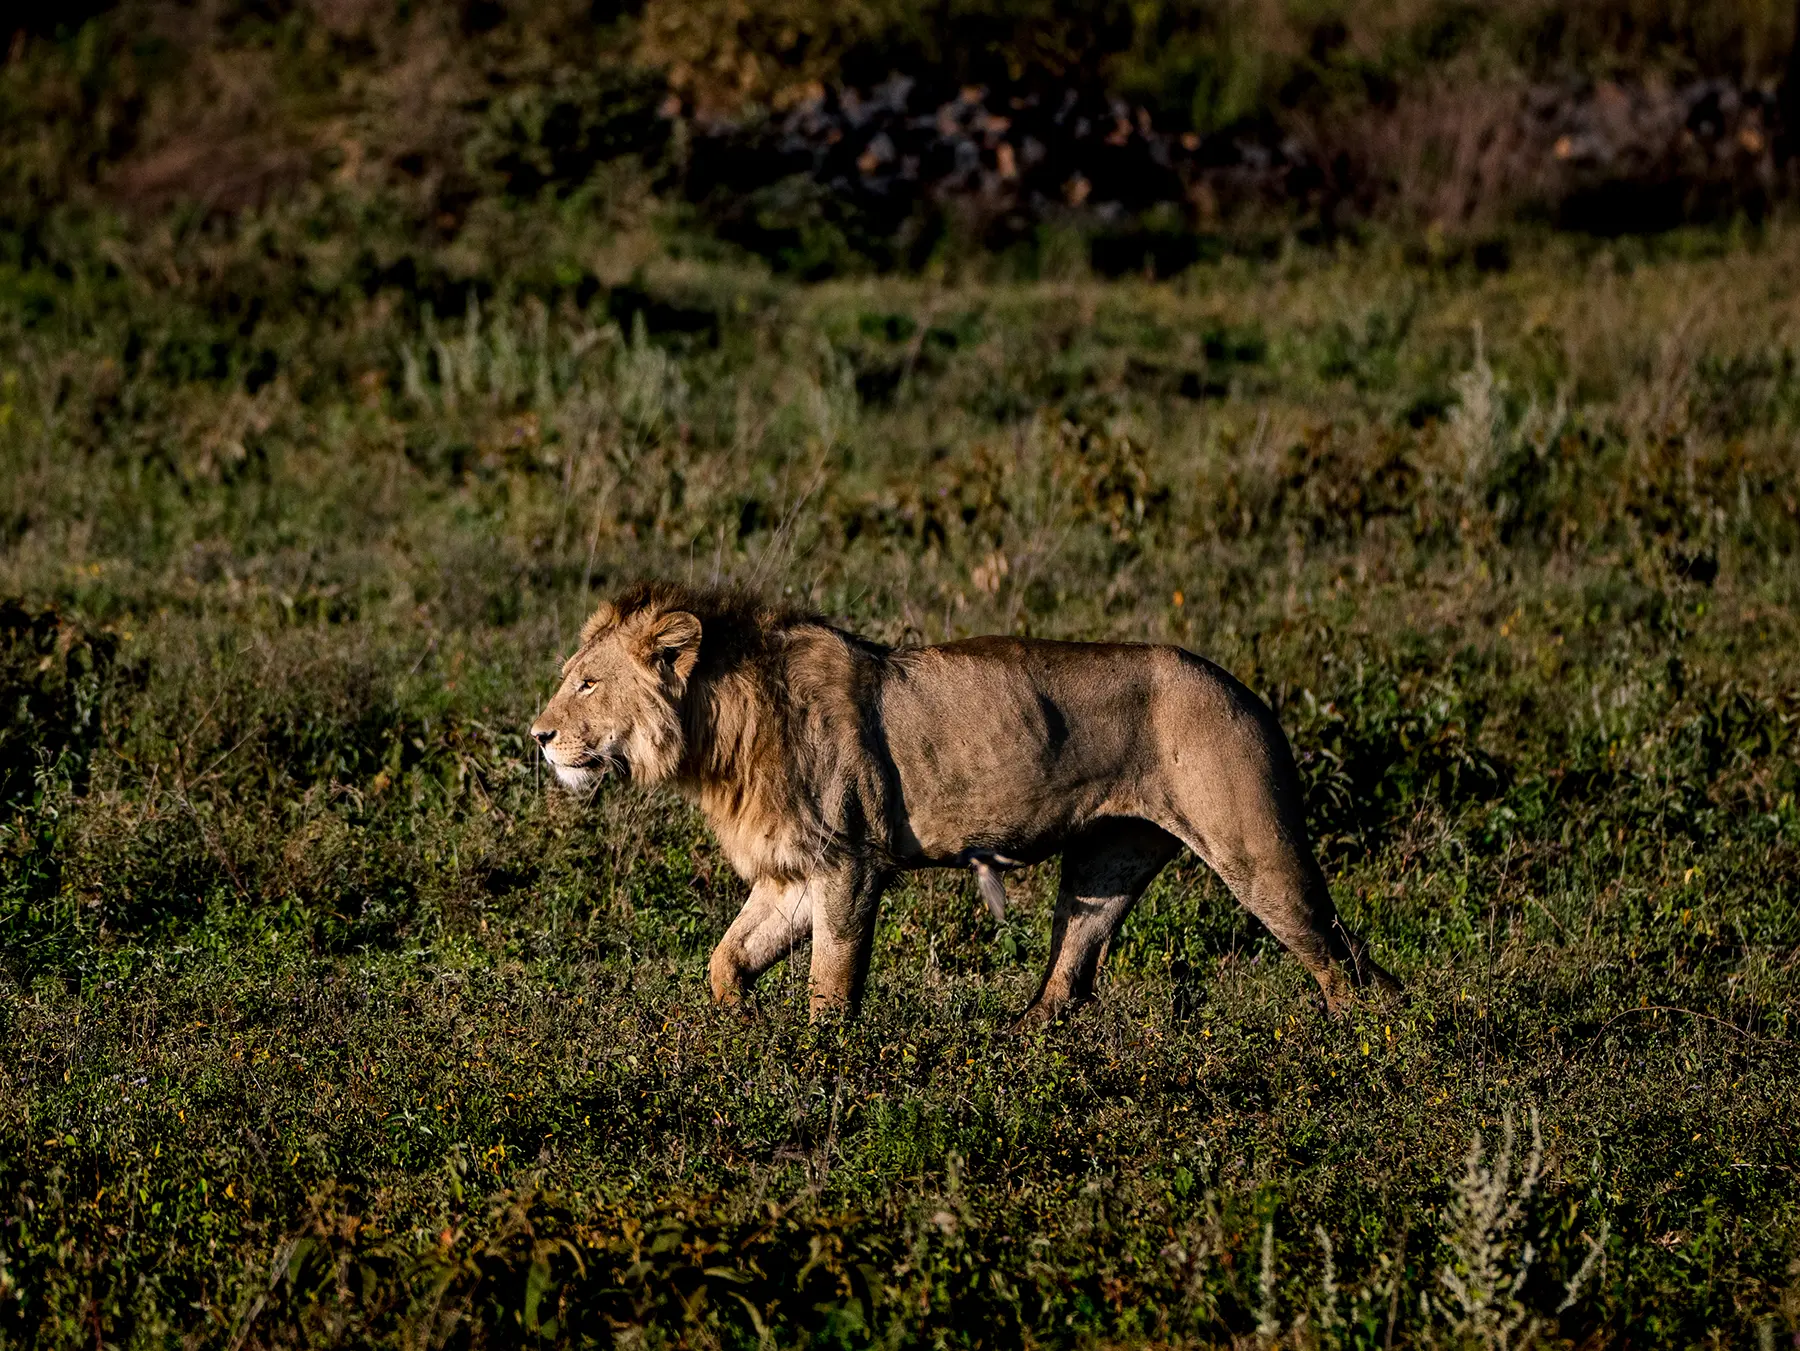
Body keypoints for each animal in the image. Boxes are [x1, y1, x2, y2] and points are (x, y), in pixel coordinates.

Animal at [530, 582, 1399, 1022]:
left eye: (588, 682)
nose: (538, 735)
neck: (719, 732)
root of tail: (1249, 692)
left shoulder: (850, 864)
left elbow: (830, 984)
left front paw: (816, 1067)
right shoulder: (793, 872)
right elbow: (728, 958)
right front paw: (739, 1034)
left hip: (1257, 851)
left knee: (1343, 962)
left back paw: (1365, 1053)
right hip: (1108, 862)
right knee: (1068, 979)